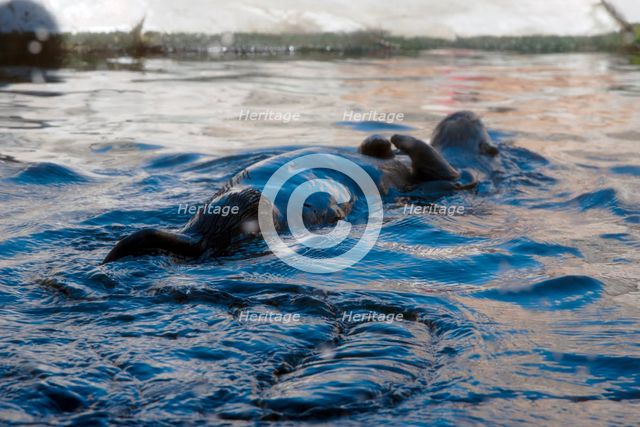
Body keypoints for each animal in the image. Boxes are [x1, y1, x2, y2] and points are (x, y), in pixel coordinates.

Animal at [102, 111, 493, 263]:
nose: (464, 114)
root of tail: (196, 236)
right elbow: (377, 150)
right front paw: (383, 139)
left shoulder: (454, 179)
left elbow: (442, 172)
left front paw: (398, 138)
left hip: (254, 209)